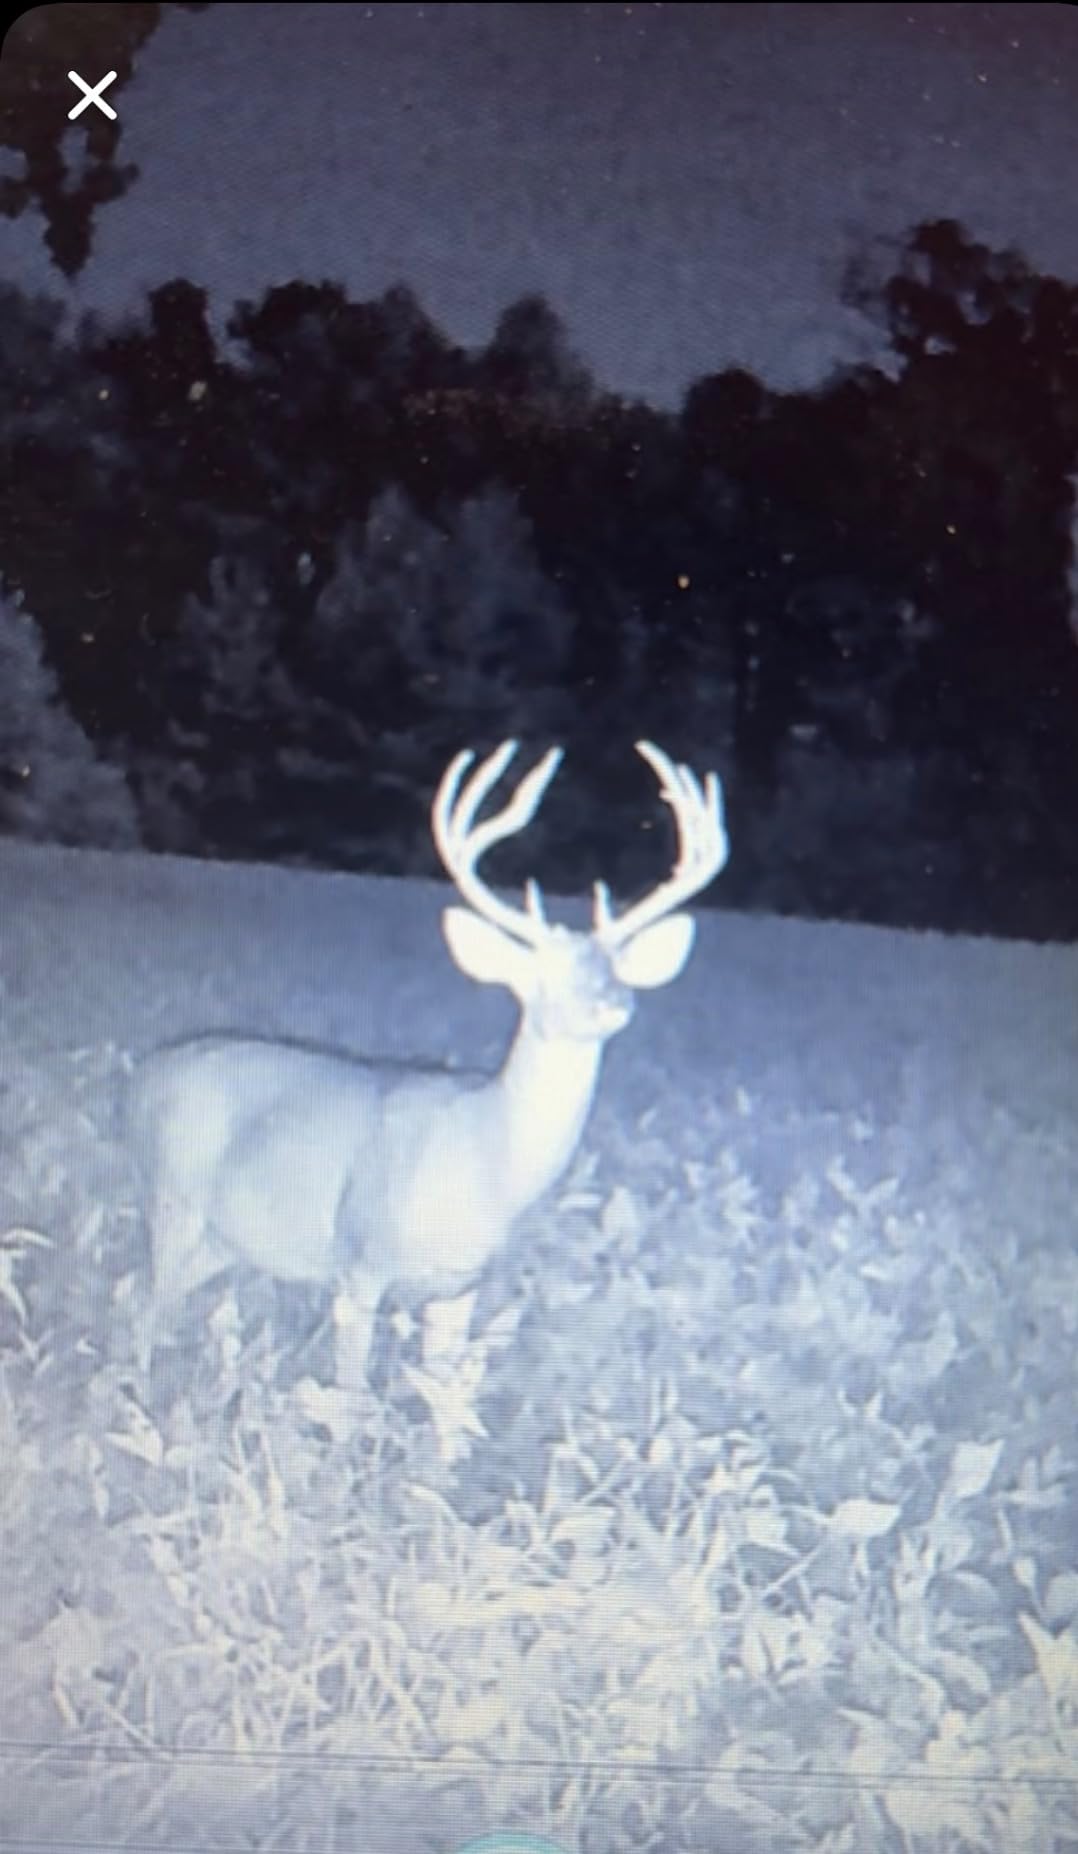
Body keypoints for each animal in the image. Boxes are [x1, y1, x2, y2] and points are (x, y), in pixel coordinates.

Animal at [127, 740, 728, 1390]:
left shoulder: (461, 1284)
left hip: (226, 1238)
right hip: (171, 1196)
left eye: (613, 967)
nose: (613, 1002)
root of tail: (143, 1076)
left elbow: (444, 1394)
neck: (487, 1163)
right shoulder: (361, 1259)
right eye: (538, 975)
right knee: (146, 1297)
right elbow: (351, 1393)